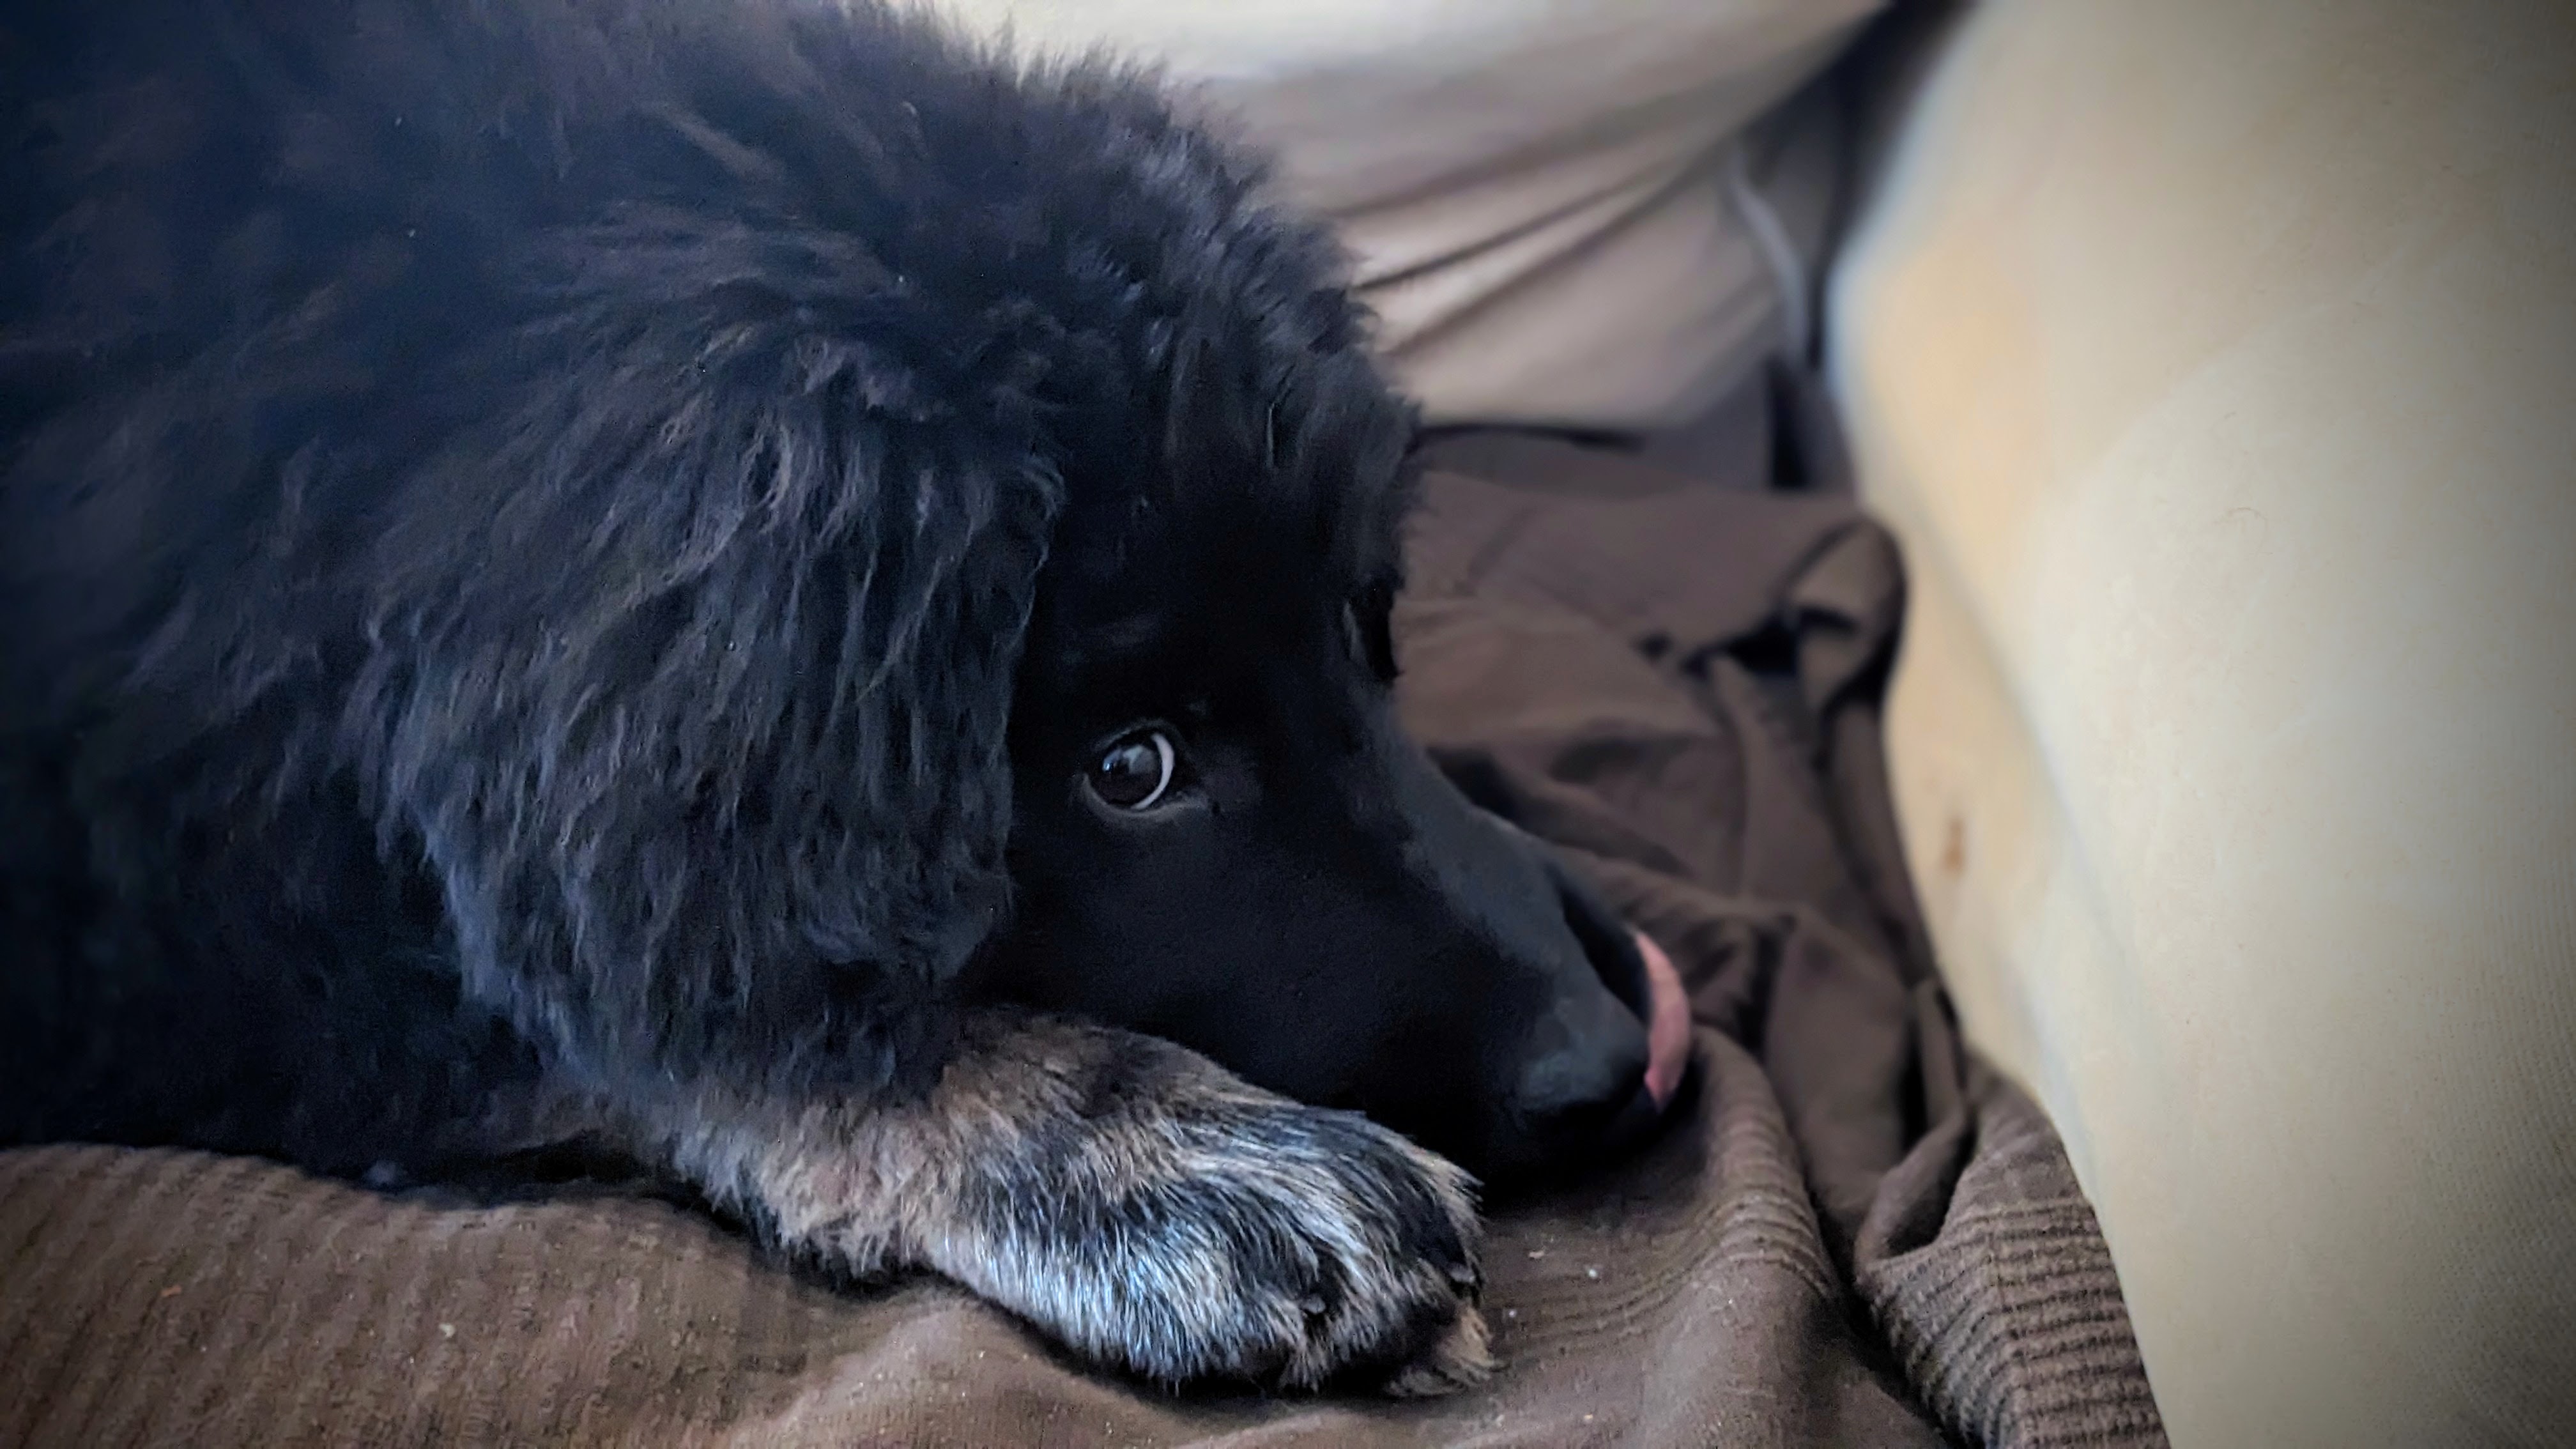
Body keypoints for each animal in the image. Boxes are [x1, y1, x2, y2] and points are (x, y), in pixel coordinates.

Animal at [0, 0, 1687, 1395]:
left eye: (1362, 625)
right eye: (1133, 769)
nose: (1616, 1059)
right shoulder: (149, 918)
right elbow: (685, 1017)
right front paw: (1151, 1149)